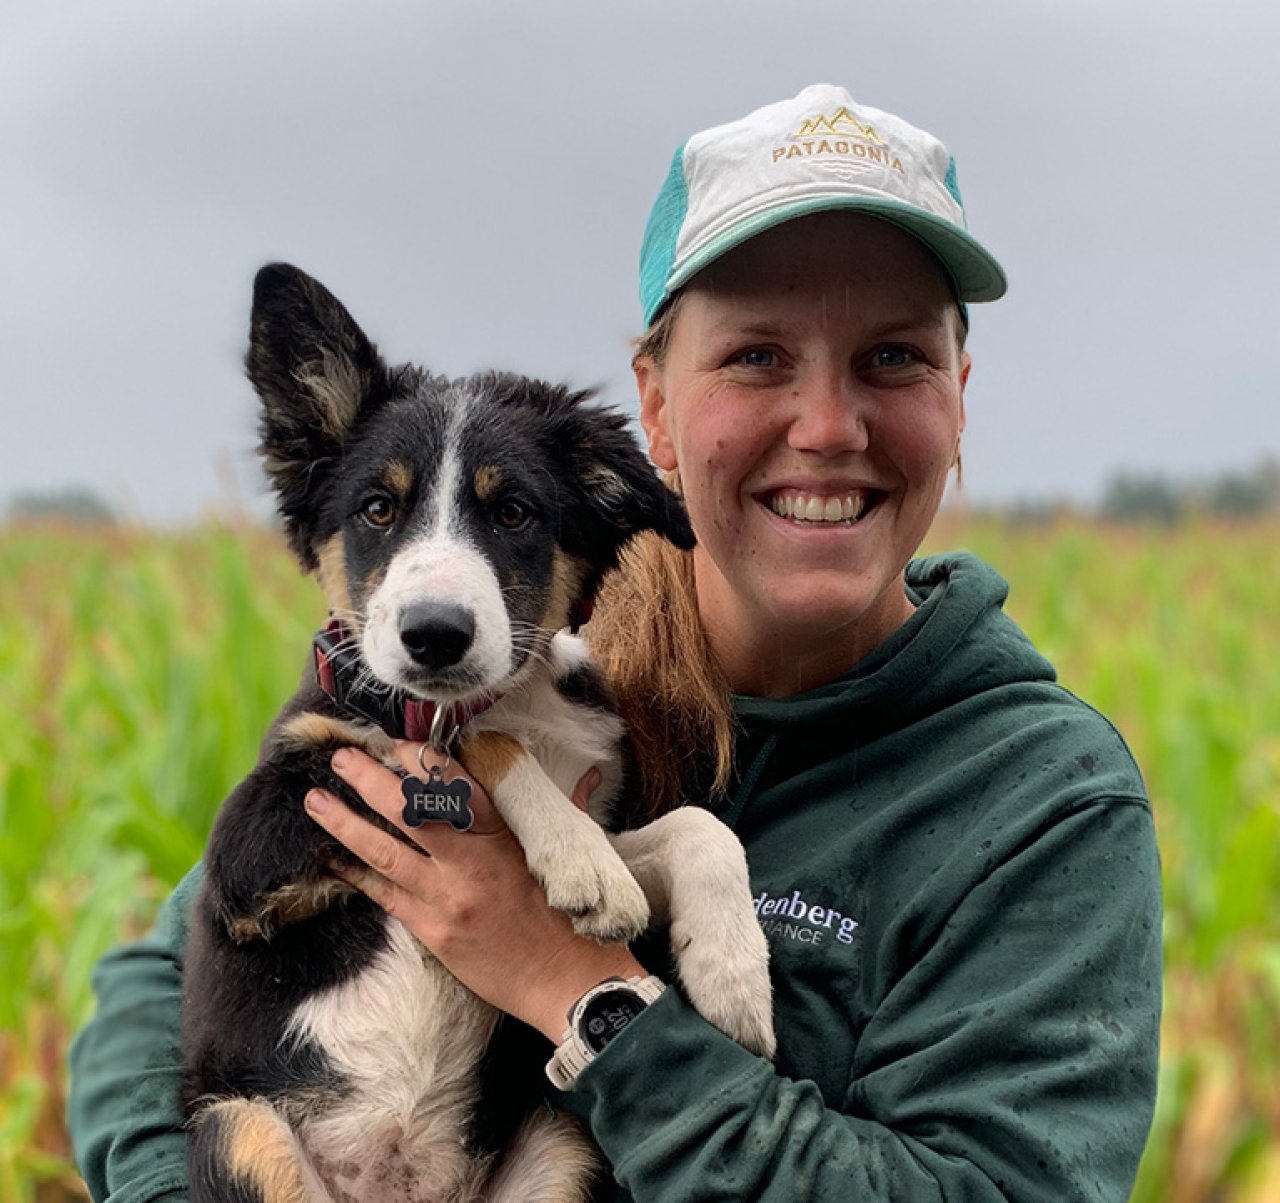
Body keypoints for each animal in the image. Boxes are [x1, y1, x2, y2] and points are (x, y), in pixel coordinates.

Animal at [179, 264, 768, 1203]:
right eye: (378, 508)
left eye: (515, 513)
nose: (434, 635)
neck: (516, 694)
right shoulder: (252, 847)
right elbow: (470, 742)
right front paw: (580, 861)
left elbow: (697, 826)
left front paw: (734, 971)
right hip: (240, 1130)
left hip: (565, 1146)